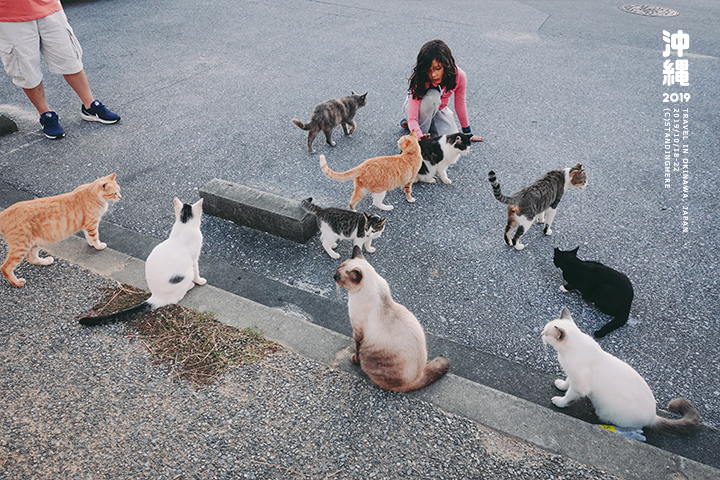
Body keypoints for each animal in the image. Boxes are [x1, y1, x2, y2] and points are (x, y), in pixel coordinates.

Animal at [80, 196, 207, 326]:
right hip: (186, 274)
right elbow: (197, 272)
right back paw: (190, 285)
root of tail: (156, 296)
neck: (184, 225)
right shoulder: (194, 259)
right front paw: (200, 281)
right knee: (177, 295)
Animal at [544, 308, 700, 436]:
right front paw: (561, 385)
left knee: (633, 428)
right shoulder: (572, 375)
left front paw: (560, 402)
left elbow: (568, 397)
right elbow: (567, 382)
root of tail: (653, 416)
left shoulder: (579, 386)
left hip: (608, 413)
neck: (566, 353)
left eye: (545, 334)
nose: (540, 334)